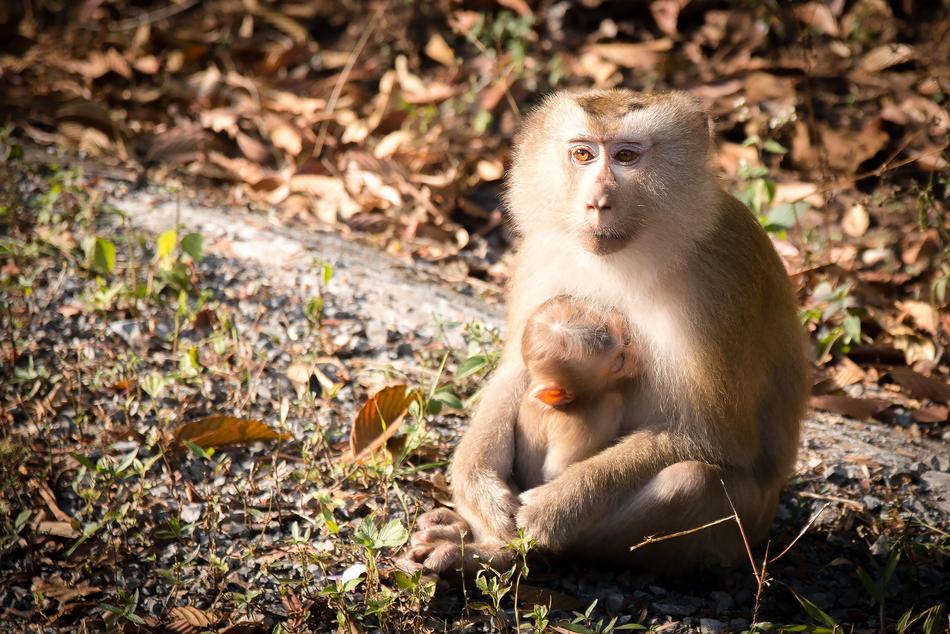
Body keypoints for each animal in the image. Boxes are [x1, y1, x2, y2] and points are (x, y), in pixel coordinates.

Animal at [404, 88, 809, 576]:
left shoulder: (722, 283)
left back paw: (503, 553)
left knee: (689, 478)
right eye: (583, 154)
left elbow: (716, 437)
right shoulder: (540, 253)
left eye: (626, 156)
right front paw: (478, 485)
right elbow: (515, 372)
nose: (597, 202)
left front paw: (560, 504)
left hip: (739, 533)